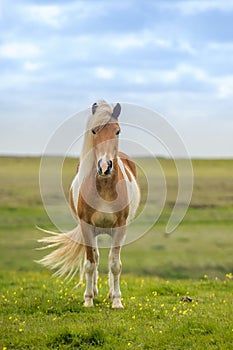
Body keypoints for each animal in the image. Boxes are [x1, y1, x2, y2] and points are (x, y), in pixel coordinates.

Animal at [38, 100, 140, 308]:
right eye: (94, 131)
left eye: (117, 131)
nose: (104, 167)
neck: (105, 188)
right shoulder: (86, 227)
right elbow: (90, 264)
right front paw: (88, 300)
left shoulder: (120, 228)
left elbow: (115, 265)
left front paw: (117, 301)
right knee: (95, 256)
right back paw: (94, 291)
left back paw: (110, 293)